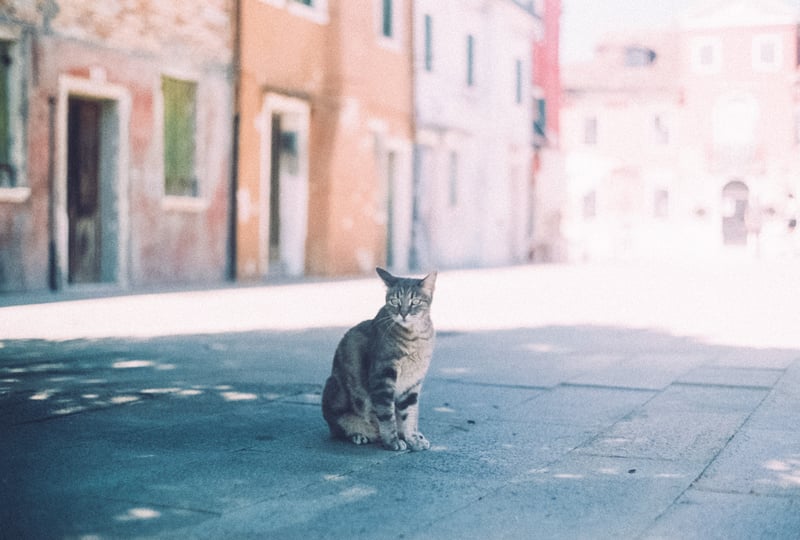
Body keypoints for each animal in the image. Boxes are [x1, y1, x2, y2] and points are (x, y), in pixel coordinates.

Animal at [322, 266, 438, 452]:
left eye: (415, 301)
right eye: (394, 300)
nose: (403, 313)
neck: (415, 337)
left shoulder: (413, 384)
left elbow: (409, 415)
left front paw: (413, 439)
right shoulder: (383, 376)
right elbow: (386, 414)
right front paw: (392, 441)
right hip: (334, 391)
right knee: (339, 429)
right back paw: (359, 435)